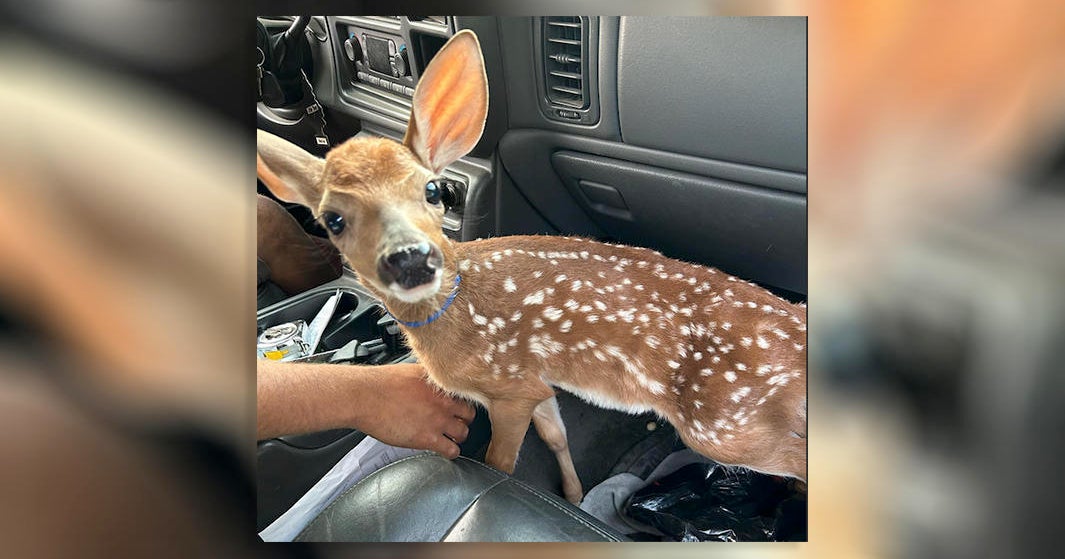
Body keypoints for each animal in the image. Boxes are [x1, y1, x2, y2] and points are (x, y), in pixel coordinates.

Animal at [256, 30, 806, 505]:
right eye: (333, 219)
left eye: (432, 190)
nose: (409, 258)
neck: (457, 316)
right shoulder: (533, 379)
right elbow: (556, 434)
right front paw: (574, 494)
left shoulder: (507, 386)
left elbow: (500, 461)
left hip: (723, 424)